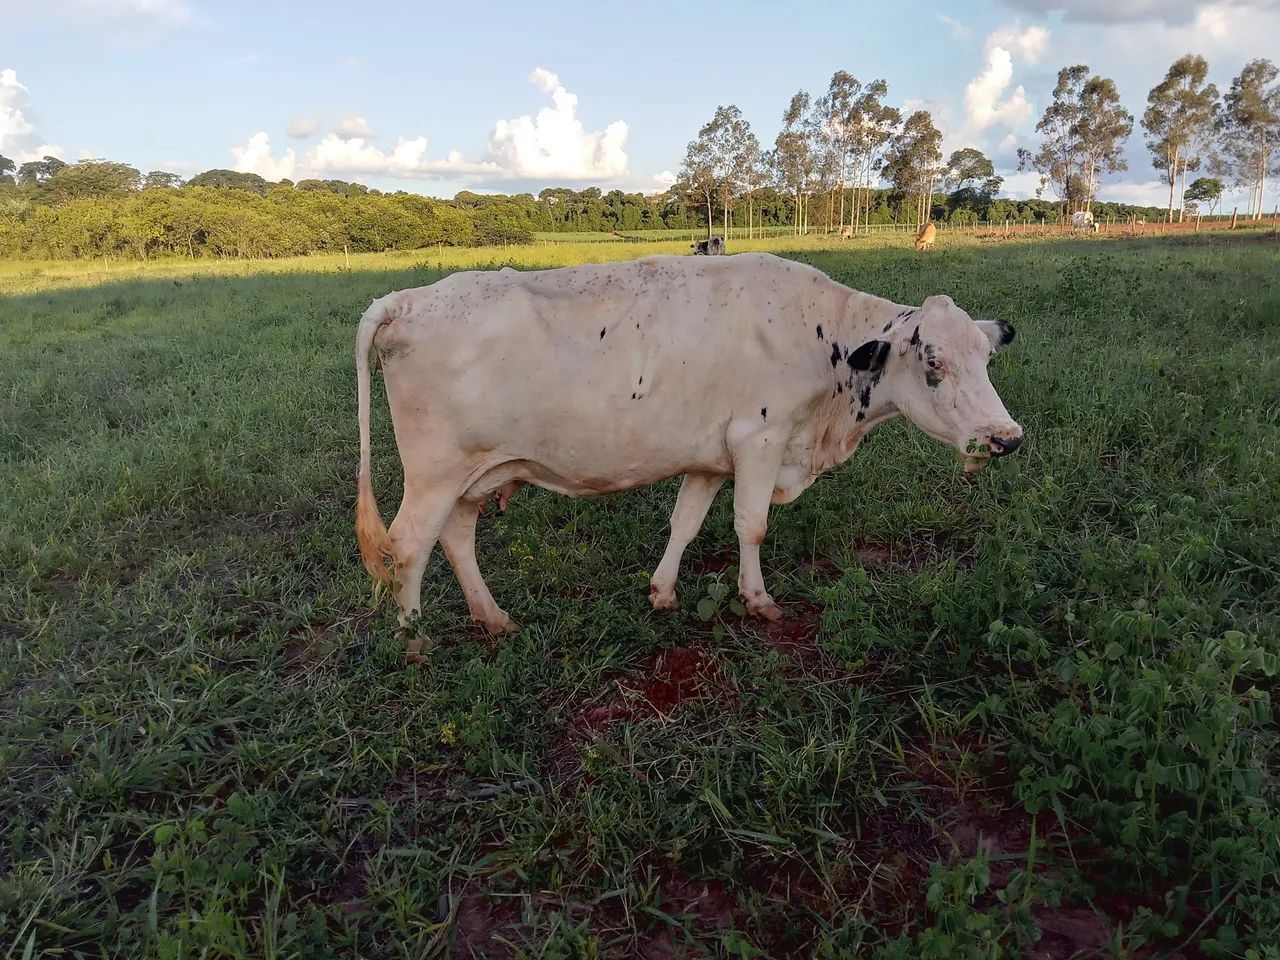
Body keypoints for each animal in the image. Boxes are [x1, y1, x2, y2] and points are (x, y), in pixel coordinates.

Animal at [355, 253, 1023, 662]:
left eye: (986, 358)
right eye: (933, 362)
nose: (1006, 438)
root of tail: (407, 298)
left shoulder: (709, 457)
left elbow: (686, 523)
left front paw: (662, 593)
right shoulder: (759, 438)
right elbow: (751, 525)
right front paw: (757, 599)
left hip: (473, 474)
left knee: (456, 537)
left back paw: (492, 617)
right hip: (435, 474)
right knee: (408, 546)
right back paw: (414, 641)